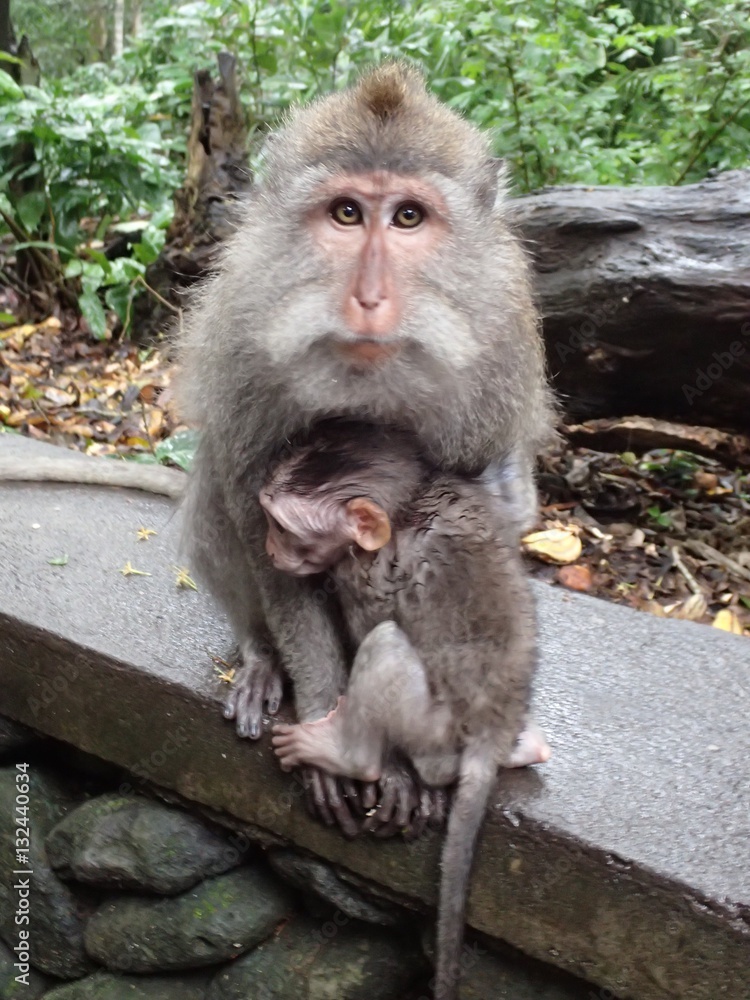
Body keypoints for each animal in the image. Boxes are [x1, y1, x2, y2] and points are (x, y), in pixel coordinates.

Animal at [173, 60, 555, 836]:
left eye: (408, 216)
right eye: (347, 213)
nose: (370, 298)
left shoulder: (501, 350)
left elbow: (491, 515)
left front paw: (402, 763)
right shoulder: (242, 341)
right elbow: (251, 510)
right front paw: (331, 724)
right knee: (215, 494)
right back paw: (263, 658)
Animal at [261, 419, 541, 1000]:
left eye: (282, 527)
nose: (267, 547)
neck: (409, 502)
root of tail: (491, 730)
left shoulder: (362, 576)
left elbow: (370, 624)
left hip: (432, 727)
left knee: (388, 645)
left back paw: (350, 754)